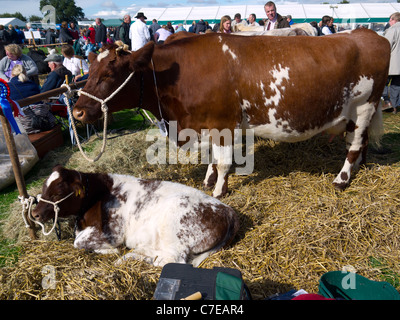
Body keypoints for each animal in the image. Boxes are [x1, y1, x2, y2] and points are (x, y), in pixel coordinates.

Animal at [32, 166, 239, 266]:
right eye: (43, 187)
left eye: (57, 193)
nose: (34, 213)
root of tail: (228, 211)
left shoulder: (112, 233)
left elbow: (78, 243)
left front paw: (111, 251)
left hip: (175, 229)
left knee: (172, 260)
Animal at [72, 29, 390, 198]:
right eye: (90, 71)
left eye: (109, 74)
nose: (77, 112)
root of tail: (370, 34)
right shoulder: (207, 125)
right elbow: (213, 159)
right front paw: (208, 181)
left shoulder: (222, 123)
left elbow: (224, 163)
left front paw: (219, 191)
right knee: (359, 143)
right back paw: (357, 169)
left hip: (364, 106)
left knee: (355, 145)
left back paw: (342, 178)